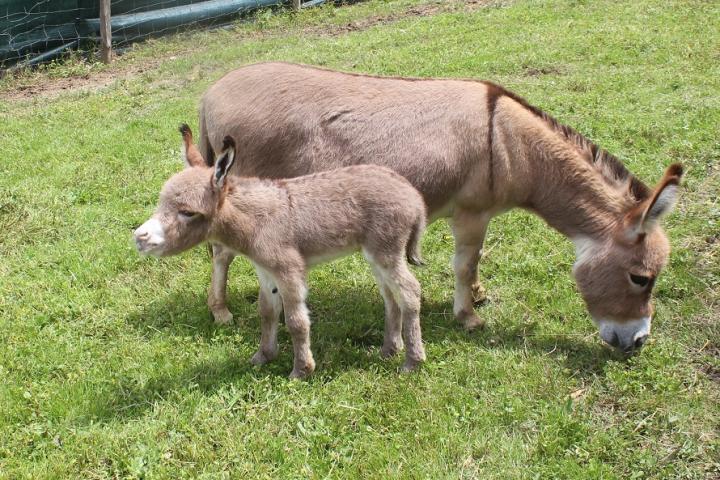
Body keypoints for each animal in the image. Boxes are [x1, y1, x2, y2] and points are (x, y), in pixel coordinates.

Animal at [135, 126, 428, 378]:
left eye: (188, 212)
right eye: (161, 202)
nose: (139, 237)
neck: (254, 221)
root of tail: (413, 196)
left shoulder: (289, 270)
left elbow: (297, 321)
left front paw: (301, 370)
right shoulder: (266, 272)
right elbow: (266, 311)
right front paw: (263, 356)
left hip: (386, 250)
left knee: (410, 291)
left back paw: (413, 361)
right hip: (375, 253)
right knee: (390, 295)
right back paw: (389, 349)